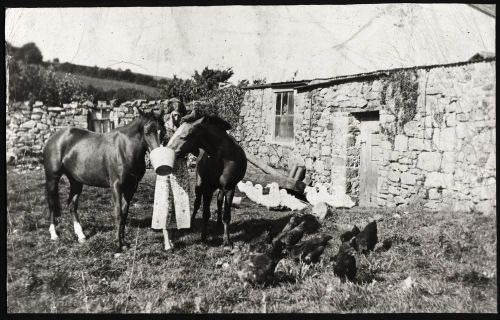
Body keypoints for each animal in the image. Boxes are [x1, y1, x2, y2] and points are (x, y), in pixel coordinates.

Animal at [42, 108, 165, 252]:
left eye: (163, 131)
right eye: (147, 132)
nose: (159, 157)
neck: (125, 148)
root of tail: (54, 137)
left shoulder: (131, 187)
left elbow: (124, 213)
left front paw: (124, 243)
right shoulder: (116, 186)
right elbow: (118, 213)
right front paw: (117, 245)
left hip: (76, 181)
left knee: (72, 204)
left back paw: (81, 236)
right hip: (52, 178)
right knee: (51, 203)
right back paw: (54, 235)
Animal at [167, 110, 247, 248]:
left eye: (184, 136)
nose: (167, 150)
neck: (221, 157)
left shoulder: (229, 188)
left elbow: (227, 215)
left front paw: (227, 241)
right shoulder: (207, 188)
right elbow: (205, 213)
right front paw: (203, 239)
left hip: (220, 189)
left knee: (219, 202)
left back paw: (219, 224)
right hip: (199, 186)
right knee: (197, 204)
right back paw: (191, 225)